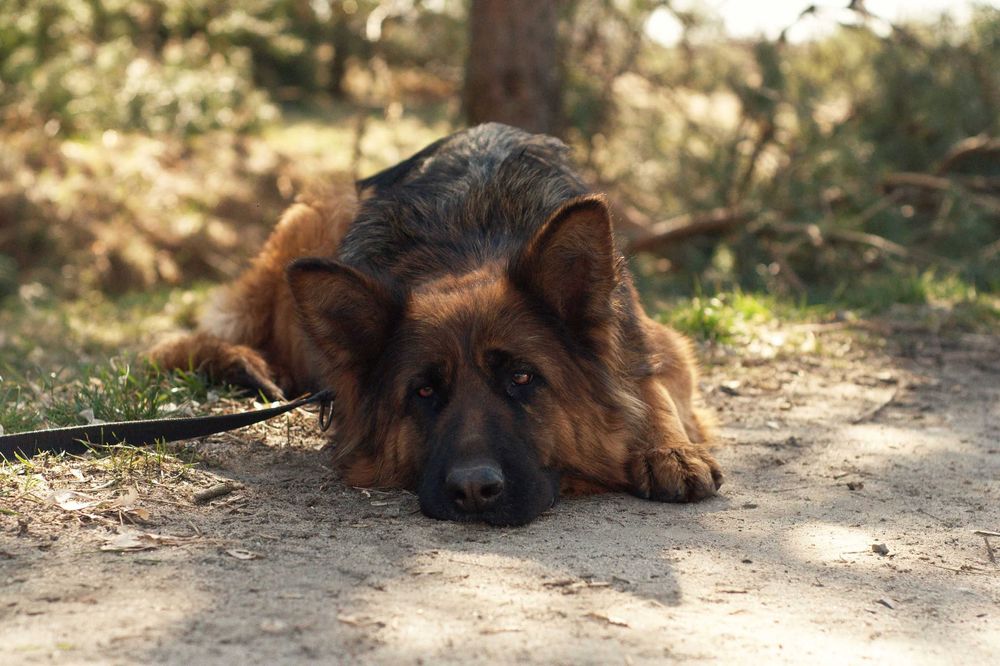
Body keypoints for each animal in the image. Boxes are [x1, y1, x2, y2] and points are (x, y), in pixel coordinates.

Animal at [150, 122, 720, 520]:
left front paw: (670, 448)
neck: (471, 239)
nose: (473, 491)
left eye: (522, 377)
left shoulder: (656, 341)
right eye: (423, 392)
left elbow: (652, 387)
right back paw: (242, 364)